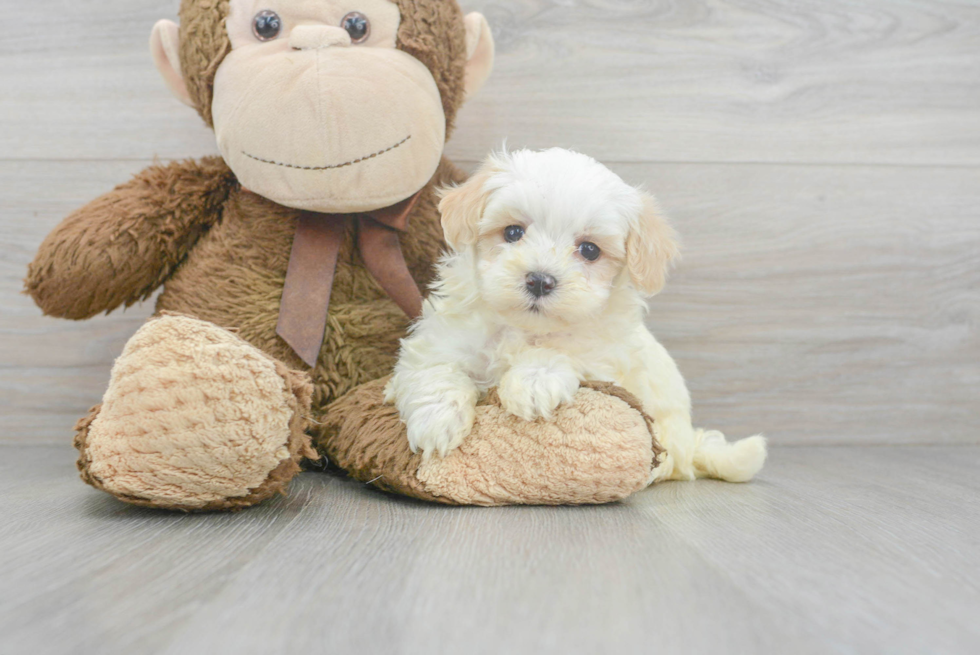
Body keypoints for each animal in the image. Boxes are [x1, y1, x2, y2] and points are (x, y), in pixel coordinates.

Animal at [382, 150, 764, 486]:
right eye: (513, 232)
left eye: (590, 250)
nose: (540, 280)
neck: (524, 328)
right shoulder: (441, 340)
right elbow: (435, 370)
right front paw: (437, 423)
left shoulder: (604, 355)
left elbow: (566, 351)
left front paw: (533, 383)